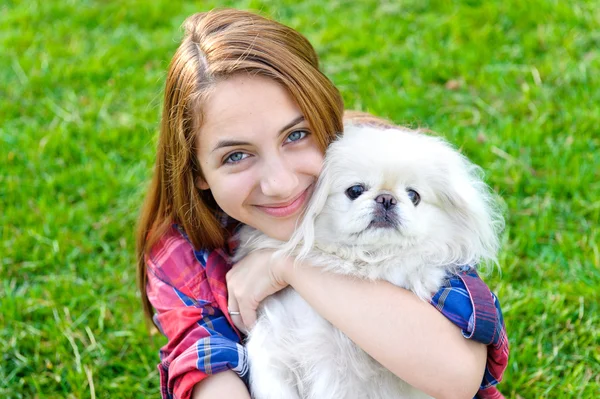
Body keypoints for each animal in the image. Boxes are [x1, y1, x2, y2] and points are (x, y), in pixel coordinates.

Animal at [234, 122, 502, 399]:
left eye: (413, 196)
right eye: (355, 191)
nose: (386, 198)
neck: (366, 261)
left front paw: (420, 274)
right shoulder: (276, 345)